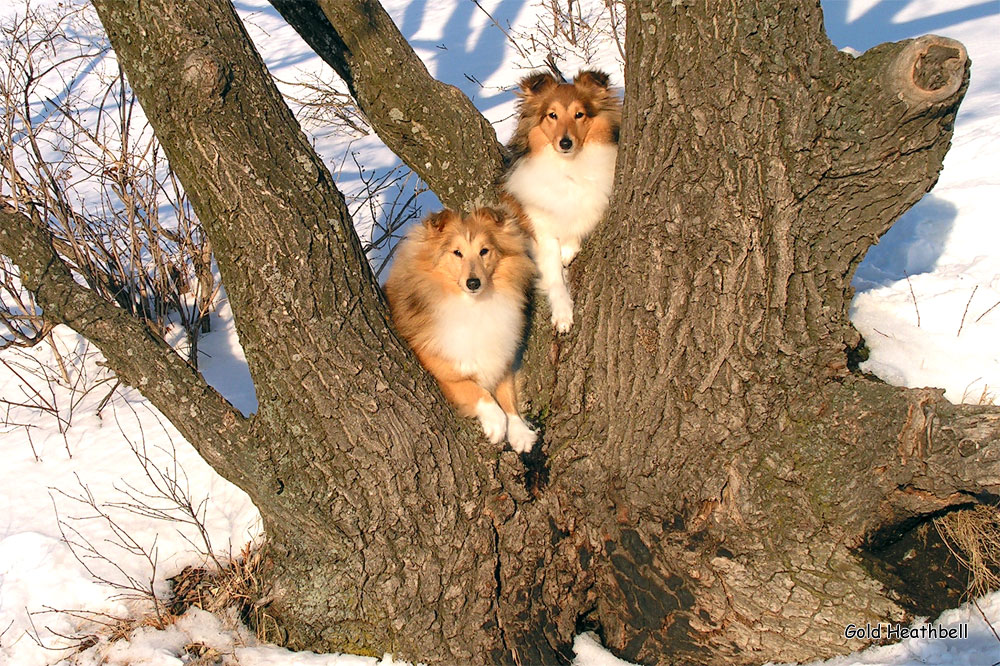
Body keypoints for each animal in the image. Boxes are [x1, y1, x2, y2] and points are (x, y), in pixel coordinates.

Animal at [386, 206, 540, 452]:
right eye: (457, 252)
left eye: (484, 251)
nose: (473, 283)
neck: (473, 307)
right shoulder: (443, 371)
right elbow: (477, 390)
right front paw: (497, 424)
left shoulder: (500, 360)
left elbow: (508, 396)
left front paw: (520, 433)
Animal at [504, 68, 620, 332]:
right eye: (552, 115)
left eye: (579, 114)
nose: (565, 143)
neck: (568, 167)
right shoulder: (539, 226)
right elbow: (554, 275)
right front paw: (563, 315)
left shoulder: (597, 198)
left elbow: (581, 219)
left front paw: (568, 249)